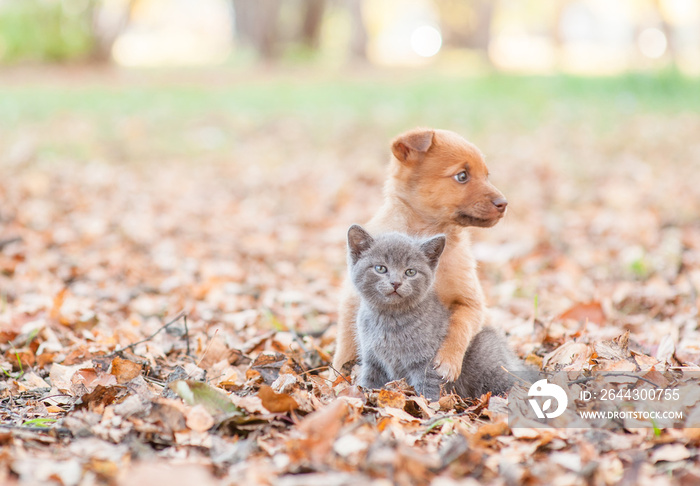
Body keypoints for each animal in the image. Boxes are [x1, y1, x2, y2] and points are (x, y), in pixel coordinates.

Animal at [334, 127, 508, 382]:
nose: (504, 203)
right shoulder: (352, 301)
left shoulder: (472, 303)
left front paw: (447, 362)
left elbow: (459, 325)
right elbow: (347, 342)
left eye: (487, 175)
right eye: (462, 176)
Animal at [348, 224, 524, 398]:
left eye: (410, 272)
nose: (396, 283)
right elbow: (369, 383)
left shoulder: (425, 363)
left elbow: (428, 391)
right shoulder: (372, 360)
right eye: (380, 268)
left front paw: (427, 405)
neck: (389, 319)